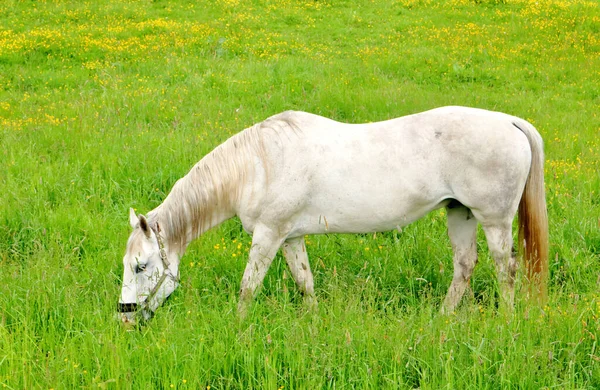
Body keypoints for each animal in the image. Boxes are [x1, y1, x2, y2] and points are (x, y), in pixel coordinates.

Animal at [117, 105, 548, 322]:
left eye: (141, 266)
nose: (125, 316)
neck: (259, 164)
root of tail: (510, 122)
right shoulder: (290, 237)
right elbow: (305, 282)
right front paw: (314, 322)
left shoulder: (268, 234)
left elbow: (248, 287)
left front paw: (237, 328)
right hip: (460, 213)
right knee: (465, 266)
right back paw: (440, 319)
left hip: (493, 220)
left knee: (505, 269)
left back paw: (508, 322)